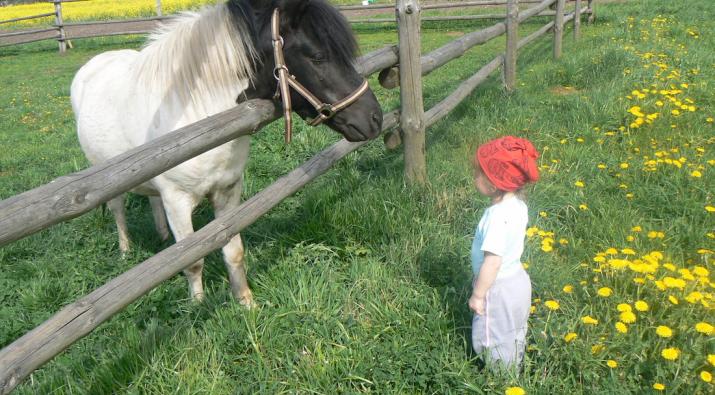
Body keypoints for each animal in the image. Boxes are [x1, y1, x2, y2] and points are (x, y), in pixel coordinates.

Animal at [72, 0, 384, 306]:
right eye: (318, 56)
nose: (375, 118)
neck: (197, 113)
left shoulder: (228, 190)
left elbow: (233, 251)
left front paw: (245, 302)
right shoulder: (177, 201)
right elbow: (192, 260)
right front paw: (197, 306)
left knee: (152, 200)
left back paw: (161, 237)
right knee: (118, 211)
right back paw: (126, 250)